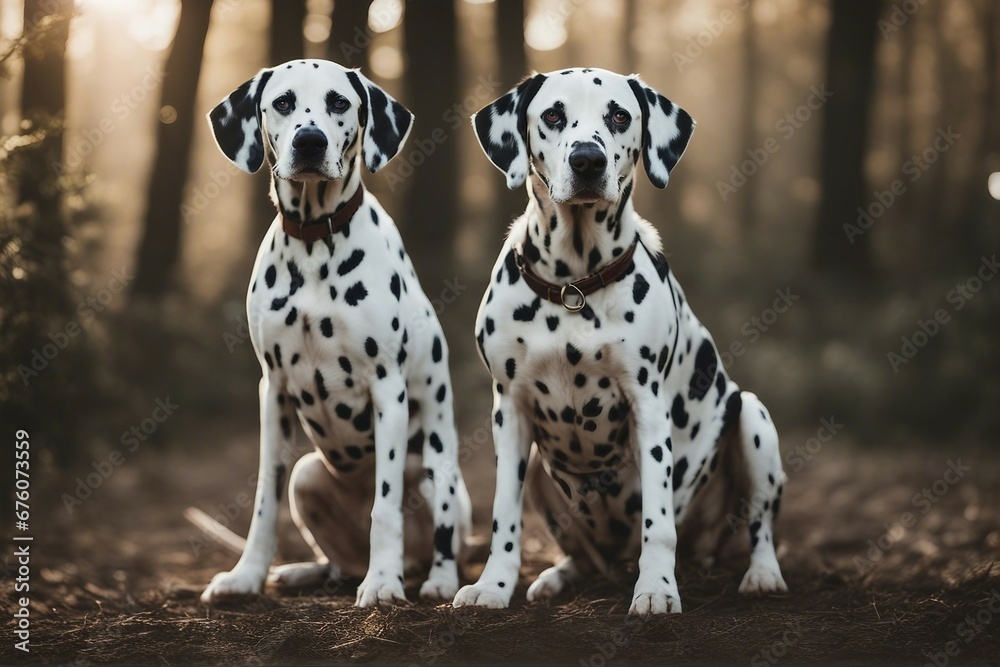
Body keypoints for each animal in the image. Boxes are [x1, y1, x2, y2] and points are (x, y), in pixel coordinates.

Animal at [202, 60, 472, 608]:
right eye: (283, 102)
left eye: (339, 102)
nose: (310, 141)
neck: (314, 241)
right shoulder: (273, 391)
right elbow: (263, 500)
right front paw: (247, 575)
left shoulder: (387, 388)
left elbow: (384, 506)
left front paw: (384, 581)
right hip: (307, 475)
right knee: (338, 560)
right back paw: (307, 570)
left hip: (439, 473)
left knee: (440, 535)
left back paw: (434, 578)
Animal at [454, 69, 788, 616]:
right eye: (552, 114)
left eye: (619, 115)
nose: (587, 160)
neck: (572, 283)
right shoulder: (510, 411)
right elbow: (504, 516)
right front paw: (492, 586)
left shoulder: (647, 407)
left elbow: (658, 522)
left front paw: (656, 588)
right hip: (544, 477)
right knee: (582, 556)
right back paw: (557, 576)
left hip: (753, 422)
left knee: (758, 523)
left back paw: (762, 573)